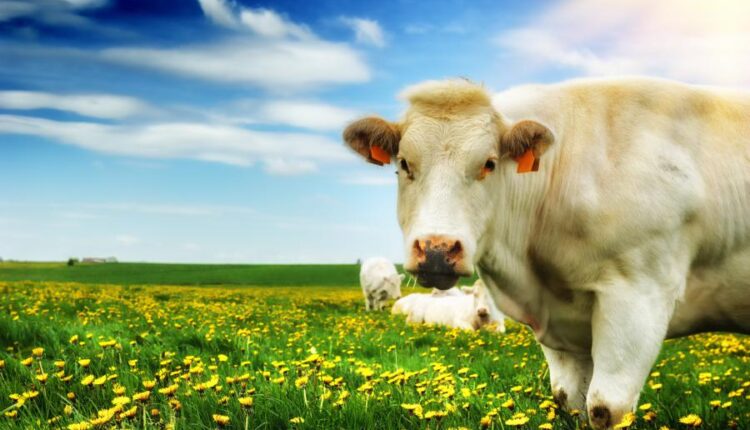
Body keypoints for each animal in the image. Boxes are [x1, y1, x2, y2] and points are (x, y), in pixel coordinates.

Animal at [343, 77, 750, 429]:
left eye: (489, 163)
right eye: (404, 164)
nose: (437, 250)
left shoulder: (639, 294)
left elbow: (606, 409)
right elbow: (568, 400)